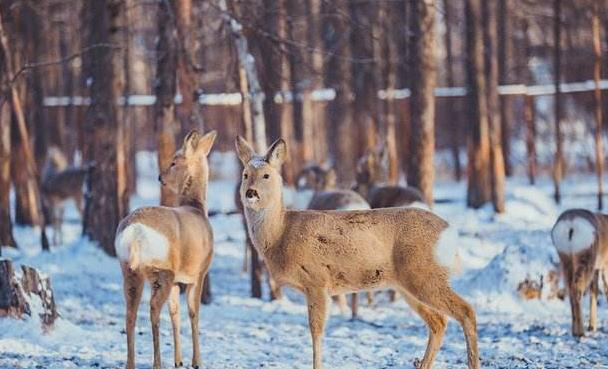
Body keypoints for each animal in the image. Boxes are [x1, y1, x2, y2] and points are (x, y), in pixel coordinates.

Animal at [115, 129, 217, 368]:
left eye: (173, 162)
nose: (160, 177)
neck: (197, 209)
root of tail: (134, 230)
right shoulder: (199, 272)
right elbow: (193, 312)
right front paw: (196, 361)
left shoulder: (179, 280)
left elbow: (175, 313)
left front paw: (179, 361)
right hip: (160, 270)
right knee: (153, 309)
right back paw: (157, 363)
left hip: (129, 270)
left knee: (130, 313)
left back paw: (131, 363)